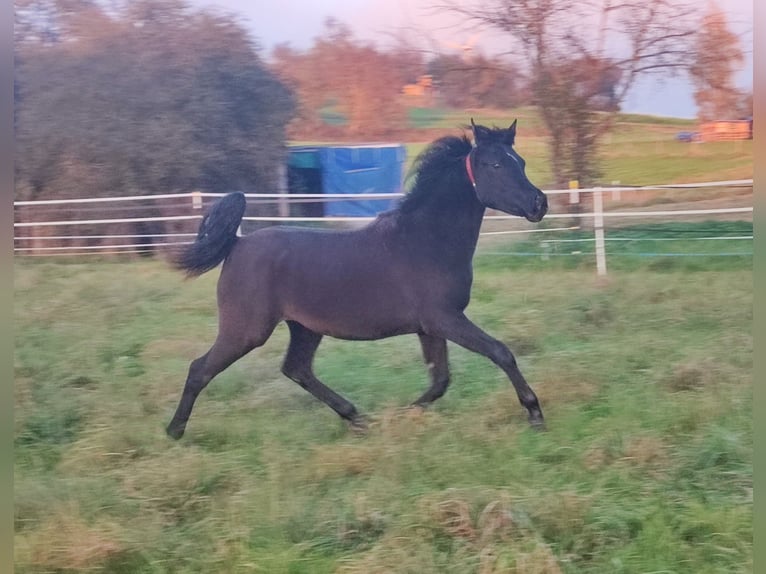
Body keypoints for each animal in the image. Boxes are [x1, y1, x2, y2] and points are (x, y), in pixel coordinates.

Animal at [169, 119, 552, 438]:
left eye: (521, 162)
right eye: (496, 164)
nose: (540, 203)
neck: (427, 241)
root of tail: (238, 243)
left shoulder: (430, 327)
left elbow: (440, 379)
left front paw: (403, 414)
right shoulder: (444, 319)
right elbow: (500, 352)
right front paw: (534, 412)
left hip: (304, 328)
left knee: (297, 369)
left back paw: (357, 418)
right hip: (246, 330)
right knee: (200, 368)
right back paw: (175, 431)